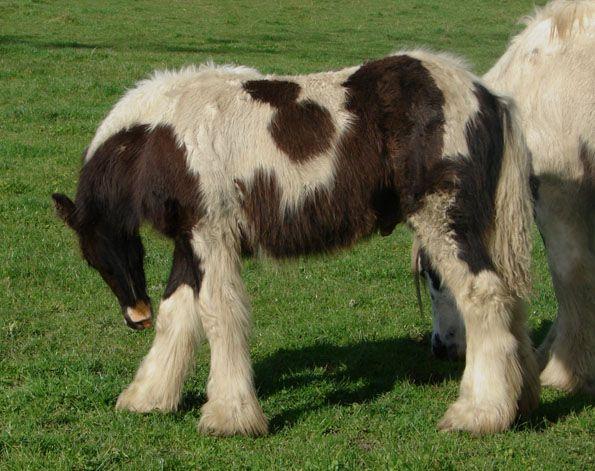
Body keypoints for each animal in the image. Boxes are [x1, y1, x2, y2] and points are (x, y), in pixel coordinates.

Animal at [53, 48, 544, 436]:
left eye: (92, 254)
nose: (135, 316)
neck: (163, 134)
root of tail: (489, 98)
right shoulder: (190, 241)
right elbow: (178, 314)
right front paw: (148, 398)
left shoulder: (212, 233)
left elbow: (219, 313)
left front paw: (229, 418)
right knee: (512, 297)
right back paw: (520, 402)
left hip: (442, 219)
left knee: (484, 295)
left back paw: (478, 414)